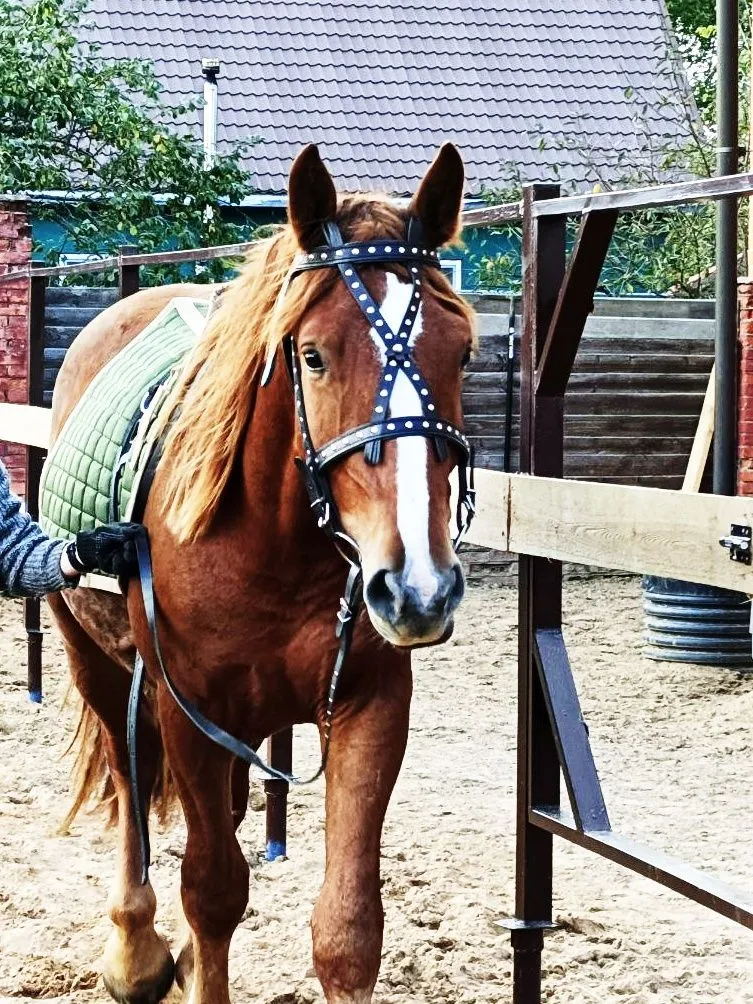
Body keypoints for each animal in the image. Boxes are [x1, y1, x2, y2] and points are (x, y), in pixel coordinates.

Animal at [46, 143, 476, 1004]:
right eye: (312, 355)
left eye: (461, 352)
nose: (418, 588)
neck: (272, 553)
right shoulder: (185, 712)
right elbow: (211, 893)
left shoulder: (372, 707)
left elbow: (347, 931)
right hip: (94, 665)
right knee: (132, 789)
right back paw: (135, 951)